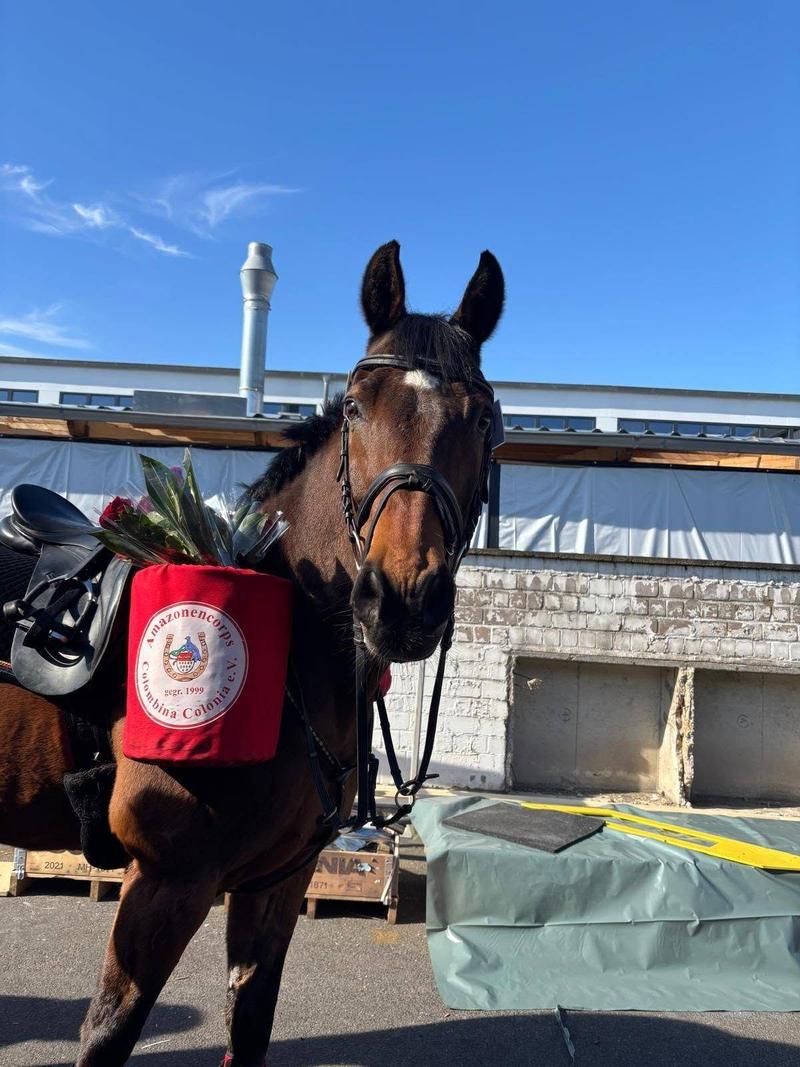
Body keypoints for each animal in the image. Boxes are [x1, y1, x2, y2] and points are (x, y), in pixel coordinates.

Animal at [0, 239, 505, 1065]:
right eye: (357, 406)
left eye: (485, 418)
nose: (402, 600)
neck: (290, 648)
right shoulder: (166, 882)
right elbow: (106, 1033)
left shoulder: (275, 884)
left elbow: (251, 1024)